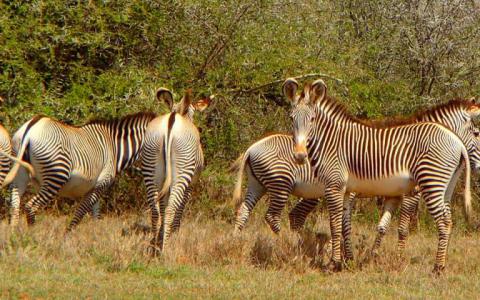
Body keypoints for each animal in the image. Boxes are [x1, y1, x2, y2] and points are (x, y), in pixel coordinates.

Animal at [0, 111, 156, 229]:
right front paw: (67, 235)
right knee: (31, 206)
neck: (115, 148)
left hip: (20, 171)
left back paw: (16, 236)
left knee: (14, 205)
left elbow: (95, 215)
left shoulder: (94, 188)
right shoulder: (101, 183)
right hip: (56, 175)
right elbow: (81, 212)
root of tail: (31, 128)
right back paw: (33, 234)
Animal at [142, 88, 211, 250]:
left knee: (156, 210)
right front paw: (174, 233)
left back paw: (154, 244)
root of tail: (171, 119)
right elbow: (180, 209)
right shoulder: (191, 185)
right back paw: (165, 249)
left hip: (150, 167)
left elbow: (162, 205)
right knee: (170, 210)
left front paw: (162, 234)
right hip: (183, 172)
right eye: (193, 113)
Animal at [284, 78, 476, 274]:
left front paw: (335, 263)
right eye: (291, 118)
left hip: (432, 181)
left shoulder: (335, 186)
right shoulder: (346, 189)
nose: (300, 156)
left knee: (444, 222)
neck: (331, 141)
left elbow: (337, 225)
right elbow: (347, 225)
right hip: (444, 186)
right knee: (448, 220)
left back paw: (437, 268)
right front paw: (348, 261)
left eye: (312, 119)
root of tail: (455, 139)